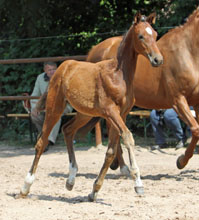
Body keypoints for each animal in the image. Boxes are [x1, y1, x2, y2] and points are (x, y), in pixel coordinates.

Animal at [17, 12, 162, 201]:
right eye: (140, 36)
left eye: (155, 35)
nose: (158, 59)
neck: (118, 74)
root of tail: (61, 68)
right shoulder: (111, 112)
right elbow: (128, 137)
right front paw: (138, 184)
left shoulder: (121, 114)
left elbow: (111, 151)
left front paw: (94, 191)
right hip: (55, 108)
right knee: (42, 142)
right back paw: (25, 187)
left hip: (85, 113)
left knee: (67, 130)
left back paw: (71, 180)